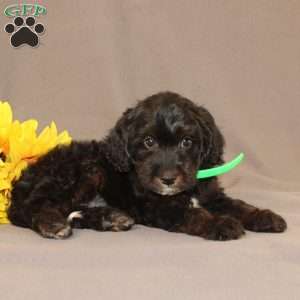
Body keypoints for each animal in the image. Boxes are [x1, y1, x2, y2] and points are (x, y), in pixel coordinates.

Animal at [8, 91, 288, 239]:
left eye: (187, 142)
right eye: (149, 141)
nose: (168, 179)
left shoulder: (212, 196)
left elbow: (238, 205)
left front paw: (264, 216)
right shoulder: (158, 206)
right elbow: (194, 214)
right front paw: (220, 224)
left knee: (71, 209)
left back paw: (111, 218)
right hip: (81, 172)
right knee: (35, 206)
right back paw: (53, 224)